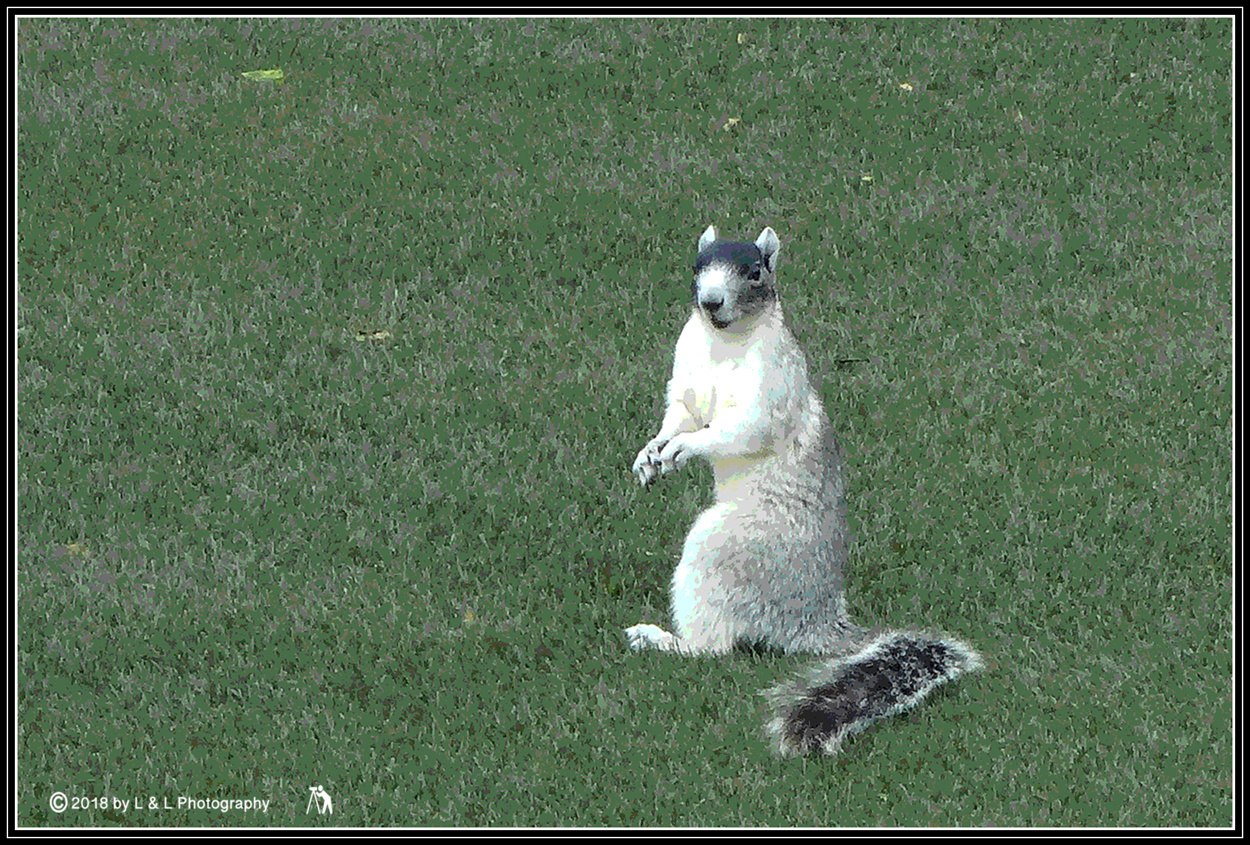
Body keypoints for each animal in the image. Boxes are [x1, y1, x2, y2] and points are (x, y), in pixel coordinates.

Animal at [627, 224, 982, 756]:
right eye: (696, 265)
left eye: (755, 272)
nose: (711, 302)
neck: (722, 342)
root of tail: (812, 620)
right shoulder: (686, 374)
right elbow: (680, 412)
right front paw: (652, 452)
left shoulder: (770, 388)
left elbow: (736, 430)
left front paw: (685, 448)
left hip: (726, 550)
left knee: (714, 647)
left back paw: (665, 641)